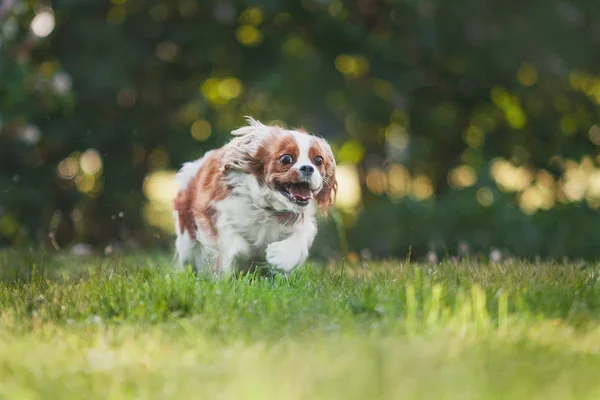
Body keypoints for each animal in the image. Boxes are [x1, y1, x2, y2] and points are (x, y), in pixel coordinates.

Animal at [172, 116, 338, 276]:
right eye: (286, 159)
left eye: (318, 160)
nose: (308, 168)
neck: (269, 208)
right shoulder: (220, 217)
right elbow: (235, 245)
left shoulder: (302, 223)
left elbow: (299, 239)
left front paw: (280, 257)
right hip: (186, 239)